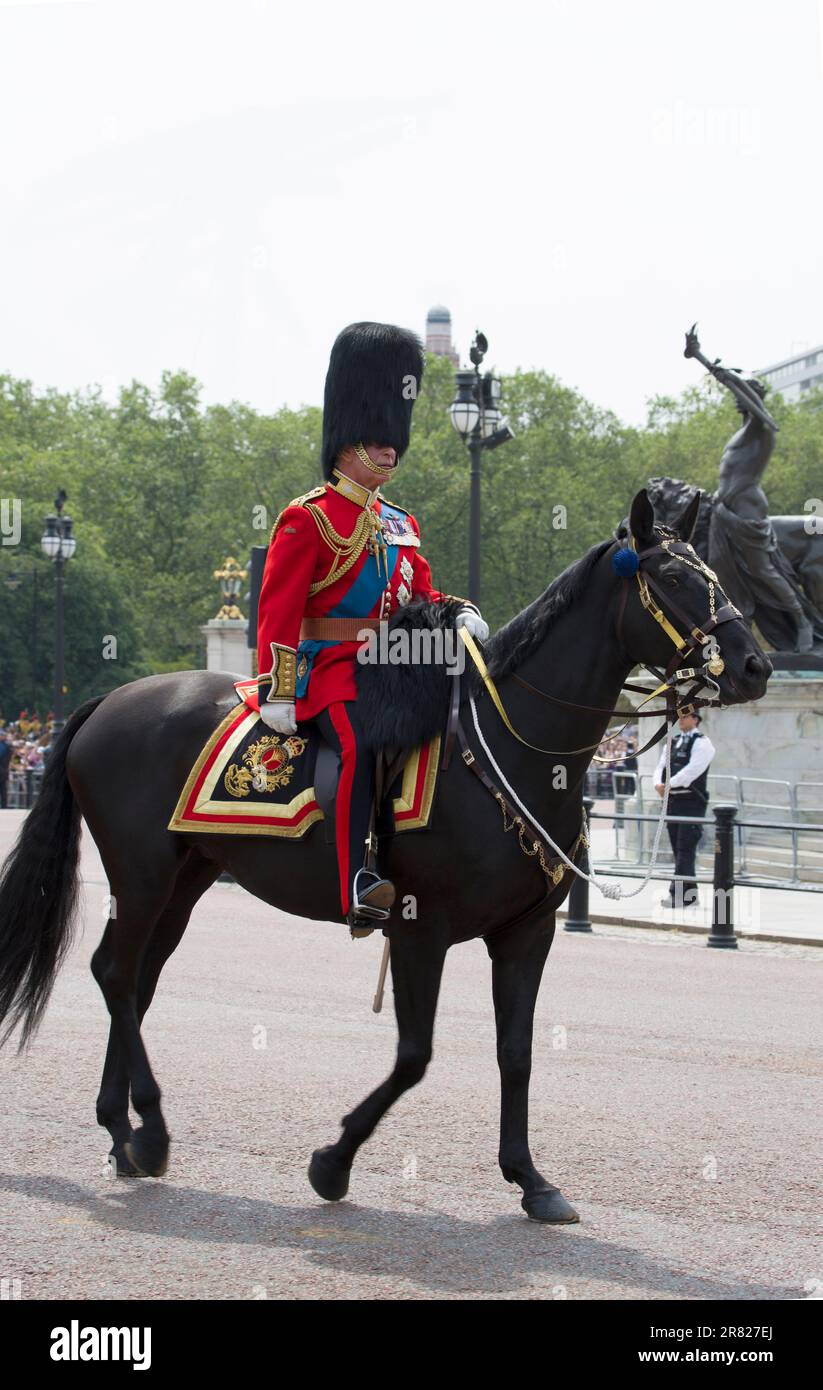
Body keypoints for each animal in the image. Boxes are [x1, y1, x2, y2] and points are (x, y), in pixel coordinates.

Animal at [0, 494, 772, 1223]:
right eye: (674, 577)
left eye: (711, 571)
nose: (755, 664)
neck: (512, 751)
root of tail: (107, 700)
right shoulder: (418, 927)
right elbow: (414, 1055)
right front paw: (332, 1161)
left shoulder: (525, 933)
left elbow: (516, 1052)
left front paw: (530, 1179)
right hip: (141, 874)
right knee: (114, 972)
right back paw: (151, 1131)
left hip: (183, 879)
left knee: (134, 979)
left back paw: (122, 1133)